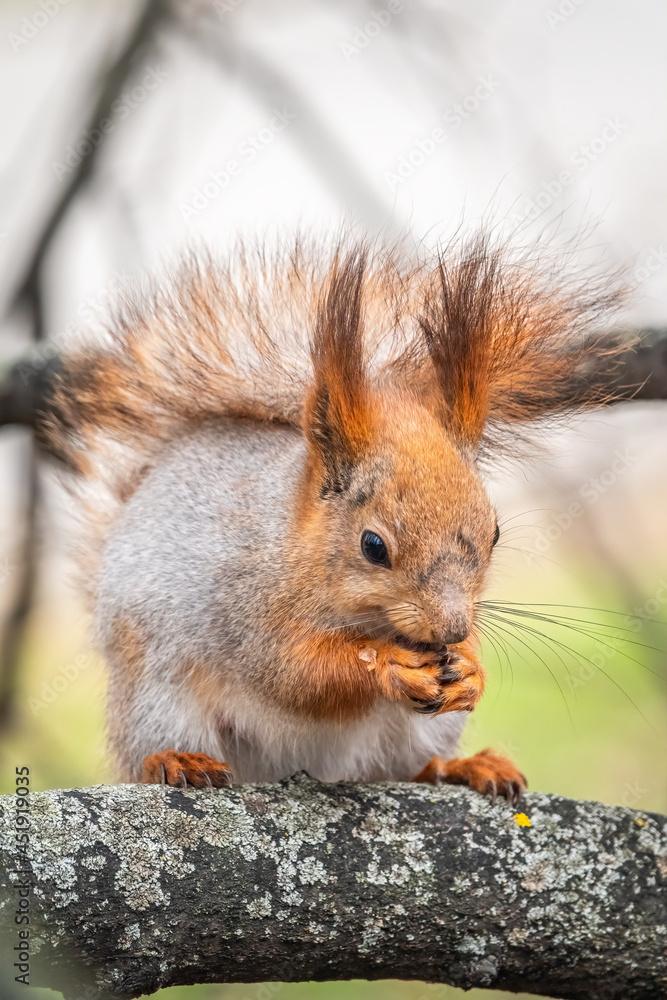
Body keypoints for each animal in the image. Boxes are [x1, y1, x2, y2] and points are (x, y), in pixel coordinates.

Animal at [41, 233, 624, 804]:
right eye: (373, 546)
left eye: (495, 533)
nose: (453, 627)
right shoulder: (247, 610)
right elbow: (297, 674)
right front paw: (385, 663)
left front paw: (471, 669)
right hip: (156, 694)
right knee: (150, 749)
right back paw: (175, 761)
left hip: (419, 733)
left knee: (406, 769)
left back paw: (461, 767)